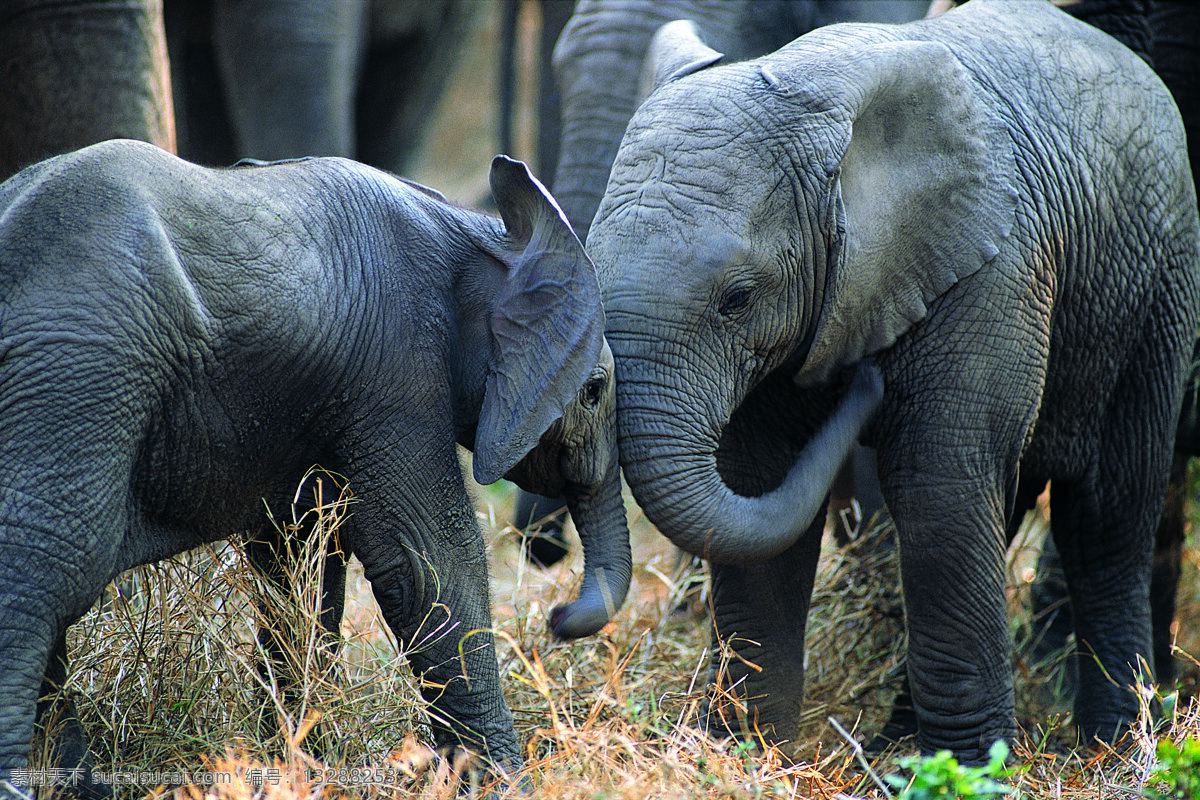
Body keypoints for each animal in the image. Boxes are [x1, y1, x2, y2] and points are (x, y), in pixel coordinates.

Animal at [0, 141, 630, 791]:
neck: (480, 233)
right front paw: (507, 786)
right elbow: (428, 565)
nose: (556, 616)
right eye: (594, 391)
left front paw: (299, 766)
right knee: (45, 571)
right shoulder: (398, 374)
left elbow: (299, 565)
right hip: (79, 377)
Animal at [585, 0, 1199, 763]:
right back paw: (896, 743)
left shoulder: (991, 271)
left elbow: (938, 489)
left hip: (1158, 285)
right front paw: (745, 753)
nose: (864, 384)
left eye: (738, 299)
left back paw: (1113, 748)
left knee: (1107, 513)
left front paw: (973, 767)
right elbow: (762, 490)